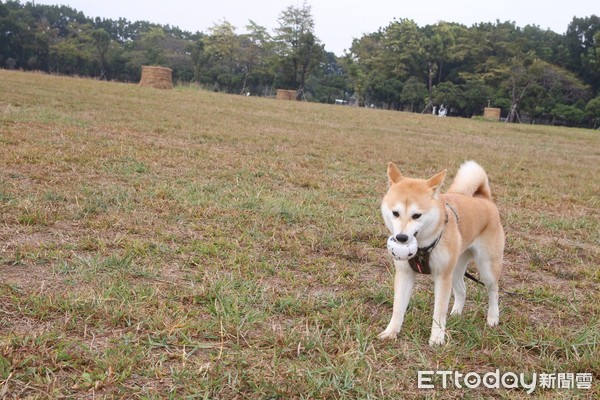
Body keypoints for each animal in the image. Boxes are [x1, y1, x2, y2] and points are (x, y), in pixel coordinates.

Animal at [380, 161, 502, 346]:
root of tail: (484, 198)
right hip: (456, 270)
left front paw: (437, 338)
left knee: (493, 290)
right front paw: (391, 332)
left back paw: (493, 318)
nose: (401, 238)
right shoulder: (404, 273)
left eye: (417, 215)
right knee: (462, 290)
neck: (422, 247)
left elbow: (439, 311)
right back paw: (456, 313)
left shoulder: (442, 276)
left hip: (486, 266)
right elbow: (398, 308)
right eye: (395, 213)